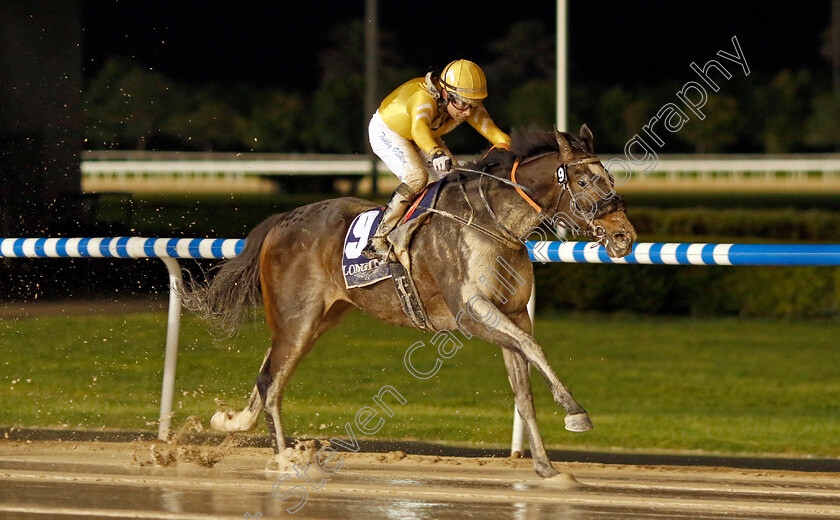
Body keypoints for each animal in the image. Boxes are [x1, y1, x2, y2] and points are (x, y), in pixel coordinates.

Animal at [184, 125, 636, 476]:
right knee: (272, 381)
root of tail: (281, 221)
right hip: (297, 318)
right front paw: (575, 411)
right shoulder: (472, 314)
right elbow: (533, 347)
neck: (491, 222)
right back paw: (283, 460)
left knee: (268, 373)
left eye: (610, 179)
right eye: (583, 181)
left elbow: (523, 387)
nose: (623, 236)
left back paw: (232, 421)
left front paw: (546, 467)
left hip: (318, 319)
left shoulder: (511, 312)